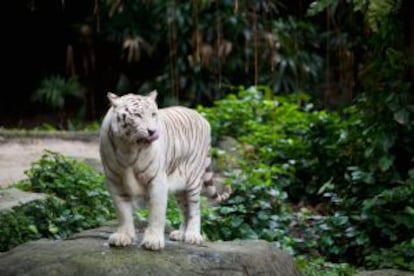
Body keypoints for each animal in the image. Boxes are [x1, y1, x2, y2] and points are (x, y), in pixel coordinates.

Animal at [99, 90, 231, 250]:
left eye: (153, 114)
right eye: (137, 115)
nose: (152, 131)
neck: (128, 148)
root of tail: (202, 117)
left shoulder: (157, 180)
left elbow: (157, 212)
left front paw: (153, 241)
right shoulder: (115, 181)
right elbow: (123, 211)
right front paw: (123, 236)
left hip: (193, 179)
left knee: (195, 209)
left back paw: (193, 236)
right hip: (180, 186)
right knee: (185, 209)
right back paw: (180, 234)